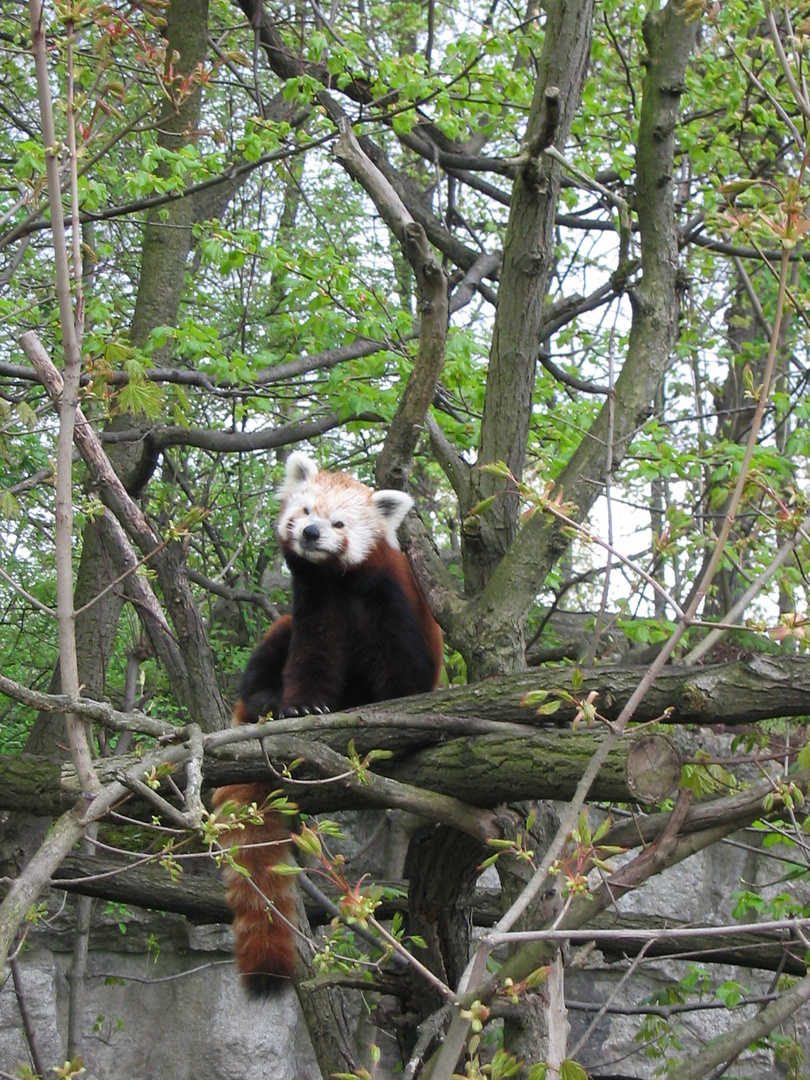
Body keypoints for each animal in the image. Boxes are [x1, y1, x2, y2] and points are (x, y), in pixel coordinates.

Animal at [212, 451, 444, 989]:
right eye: (305, 511)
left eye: (339, 523)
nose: (312, 533)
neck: (340, 582)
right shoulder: (313, 606)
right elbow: (312, 657)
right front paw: (300, 707)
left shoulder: (394, 606)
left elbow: (403, 667)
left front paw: (402, 705)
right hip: (277, 636)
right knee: (270, 652)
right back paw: (264, 701)